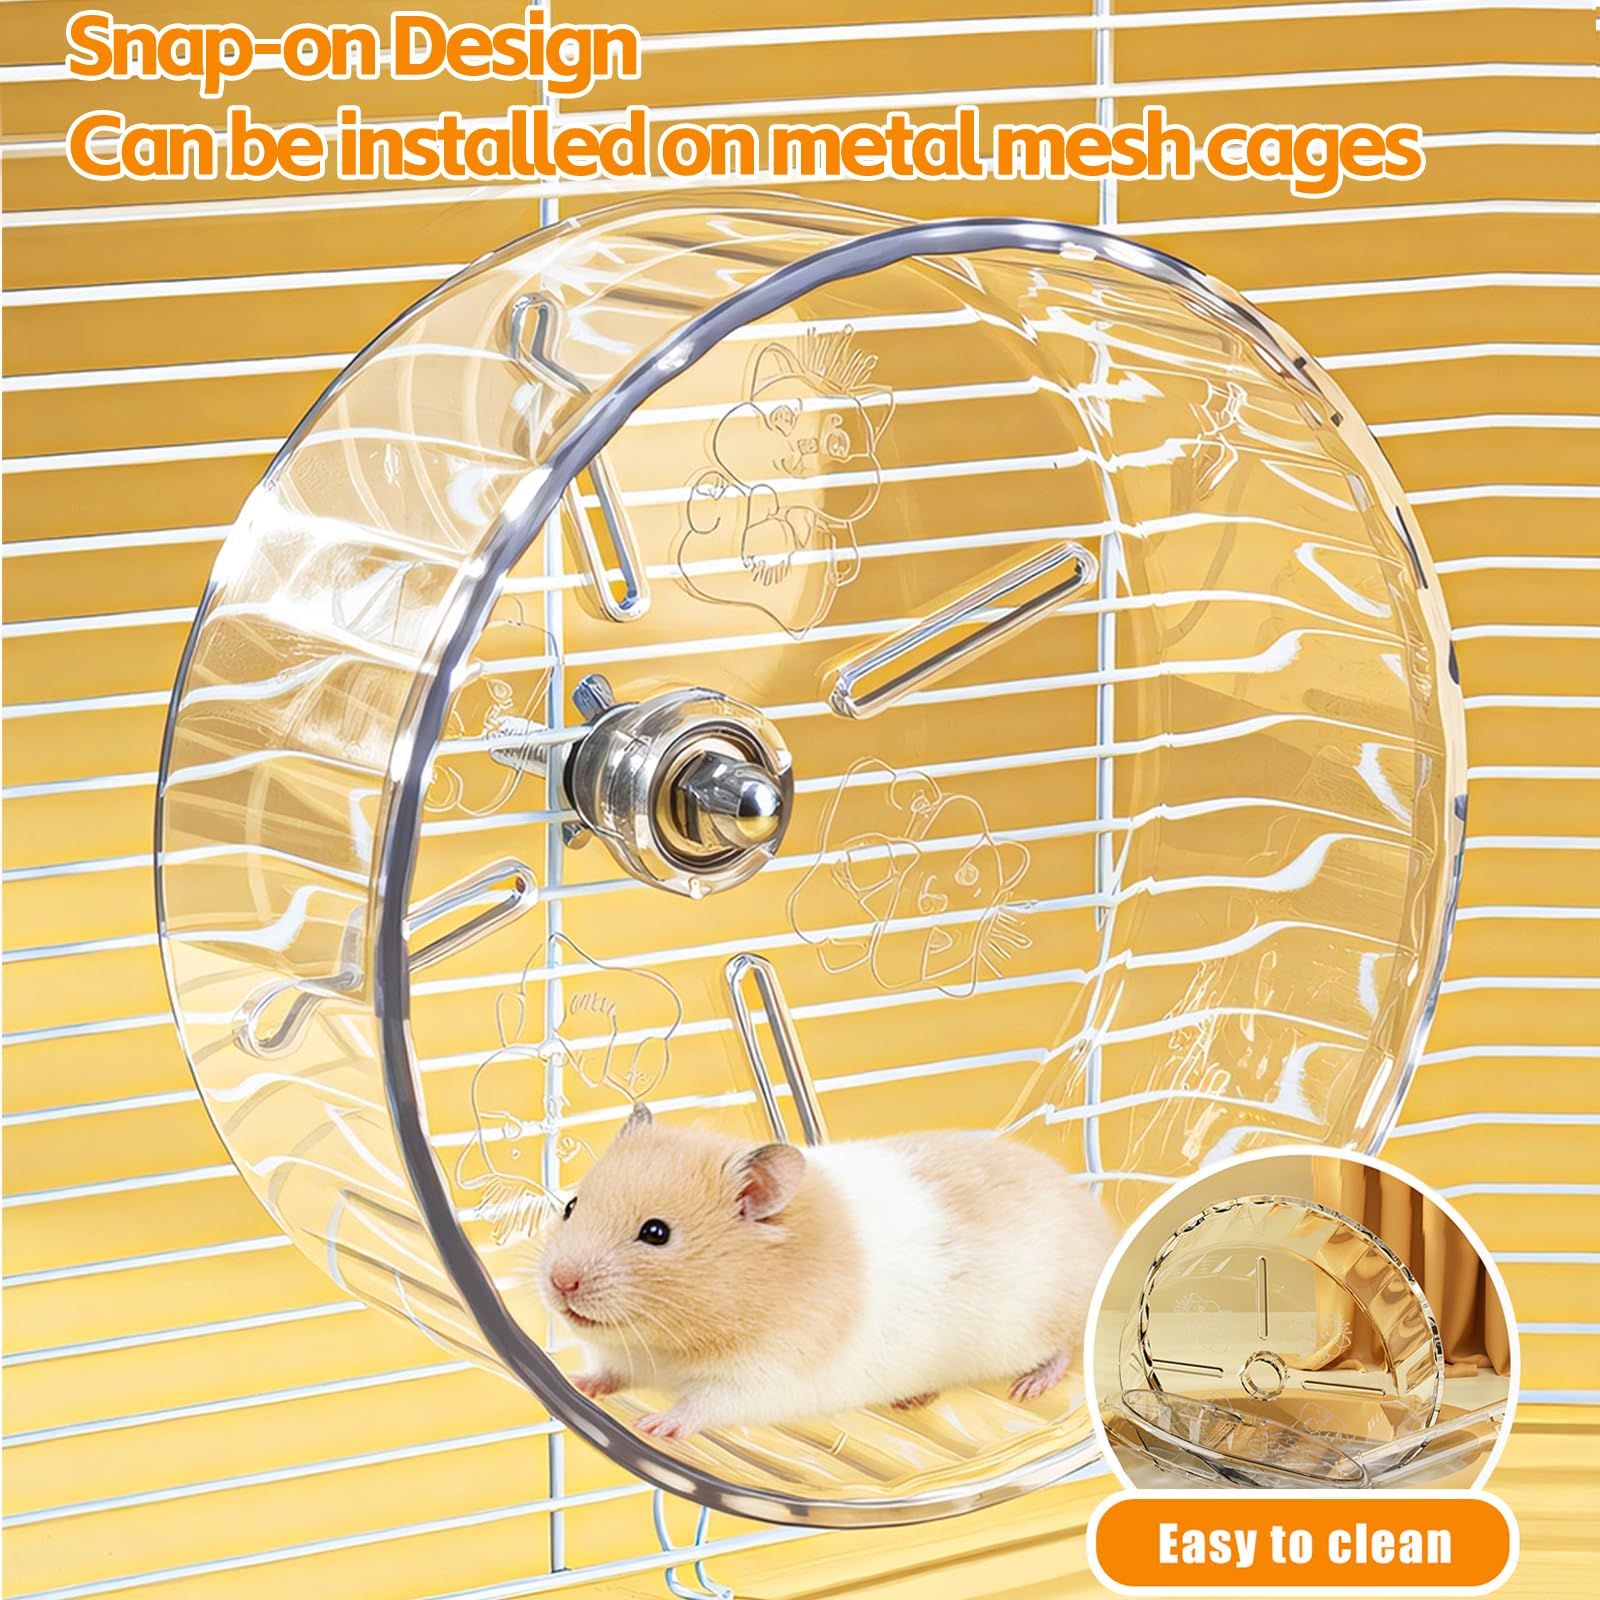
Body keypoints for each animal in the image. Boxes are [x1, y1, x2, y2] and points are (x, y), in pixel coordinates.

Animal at [537, 1103, 1117, 1438]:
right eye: (571, 1206)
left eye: (656, 1233)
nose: (560, 1282)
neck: (668, 1343)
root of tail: (1099, 1221)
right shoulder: (623, 1356)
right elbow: (609, 1371)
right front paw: (576, 1383)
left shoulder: (766, 1376)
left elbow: (704, 1405)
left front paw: (655, 1423)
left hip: (1043, 1318)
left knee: (1065, 1347)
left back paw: (1029, 1387)